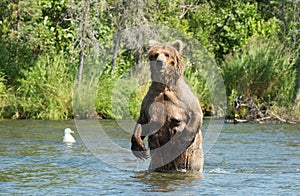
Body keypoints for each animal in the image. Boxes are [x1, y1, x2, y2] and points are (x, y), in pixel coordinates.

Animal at [131, 39, 204, 172]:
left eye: (167, 54)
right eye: (155, 54)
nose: (159, 62)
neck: (164, 85)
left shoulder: (183, 97)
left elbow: (195, 113)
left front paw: (181, 141)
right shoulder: (150, 99)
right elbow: (143, 120)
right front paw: (140, 148)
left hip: (194, 159)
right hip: (156, 162)